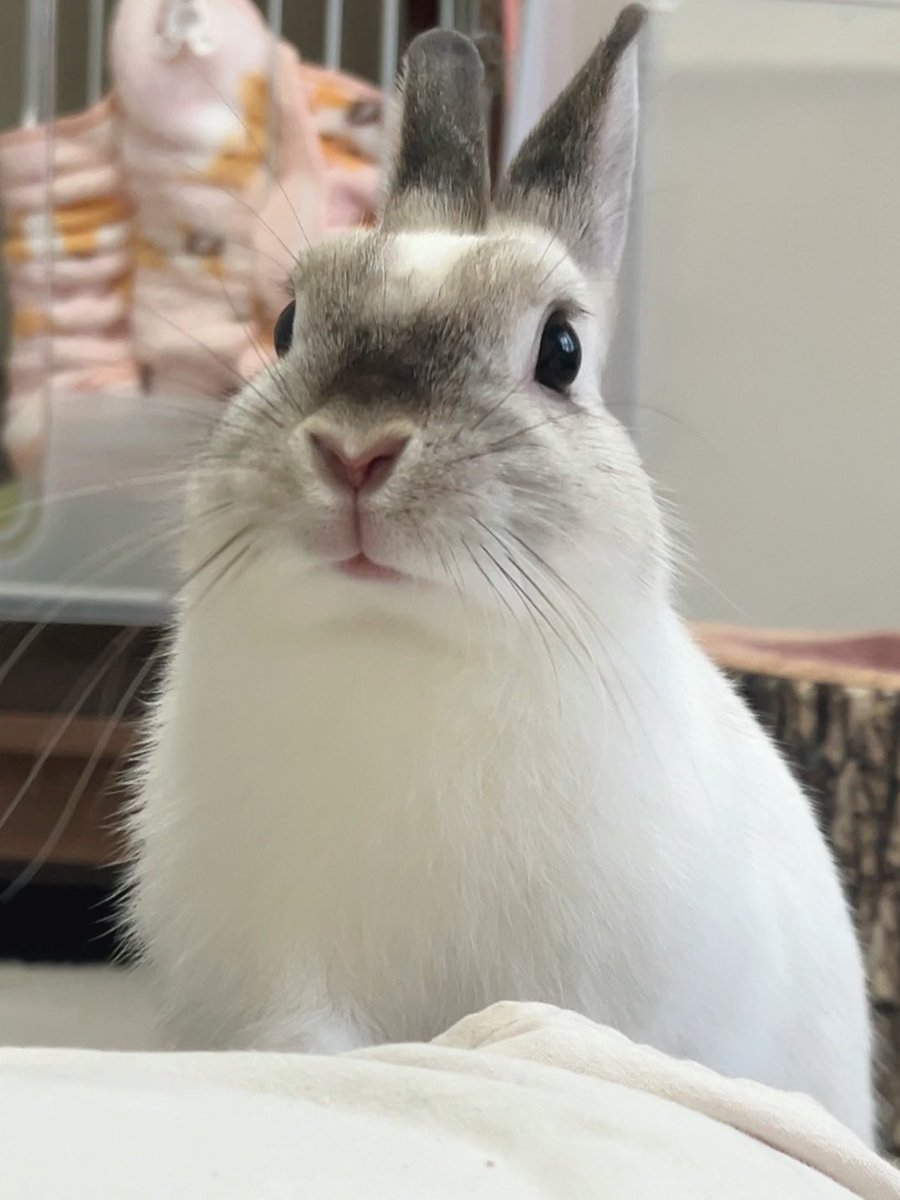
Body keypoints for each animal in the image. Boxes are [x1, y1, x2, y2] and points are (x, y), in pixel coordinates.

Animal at [124, 6, 876, 1144]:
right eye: (289, 325)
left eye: (561, 350)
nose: (356, 451)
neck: (397, 647)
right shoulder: (289, 975)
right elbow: (307, 1043)